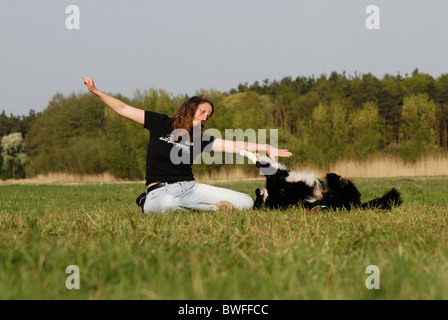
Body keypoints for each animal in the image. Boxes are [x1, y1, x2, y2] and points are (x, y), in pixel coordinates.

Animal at [240, 151, 404, 211]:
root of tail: (356, 203)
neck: (272, 197)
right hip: (336, 199)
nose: (256, 190)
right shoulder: (277, 178)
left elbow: (258, 162)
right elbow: (260, 162)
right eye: (257, 201)